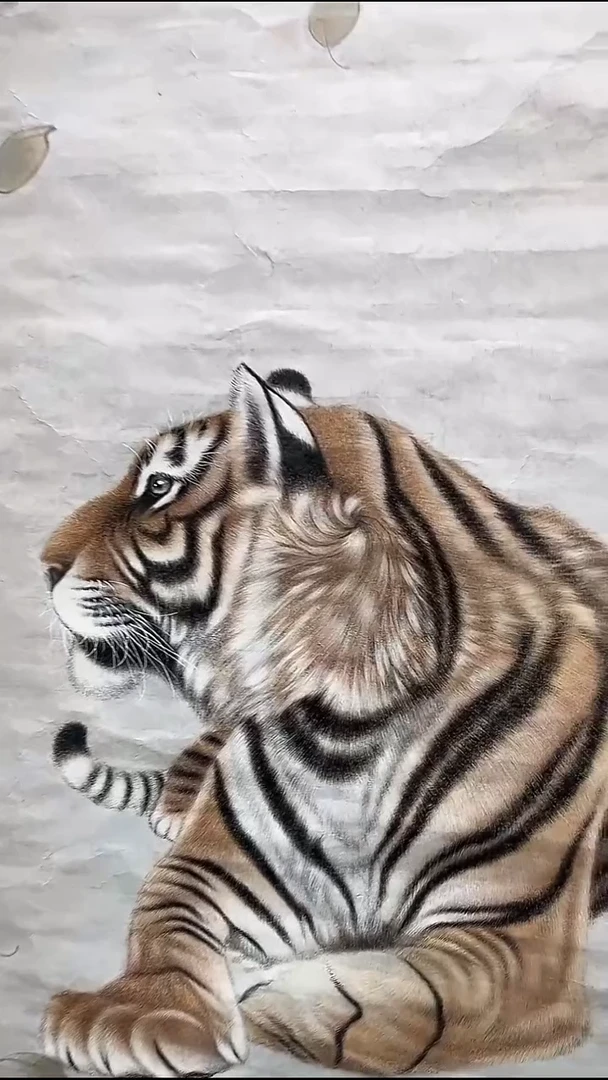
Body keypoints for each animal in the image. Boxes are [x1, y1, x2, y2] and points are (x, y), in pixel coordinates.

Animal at [41, 363, 608, 1078]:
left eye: (160, 488)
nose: (42, 564)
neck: (350, 722)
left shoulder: (514, 939)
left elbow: (390, 1010)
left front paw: (257, 986)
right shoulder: (216, 867)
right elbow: (163, 916)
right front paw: (138, 1013)